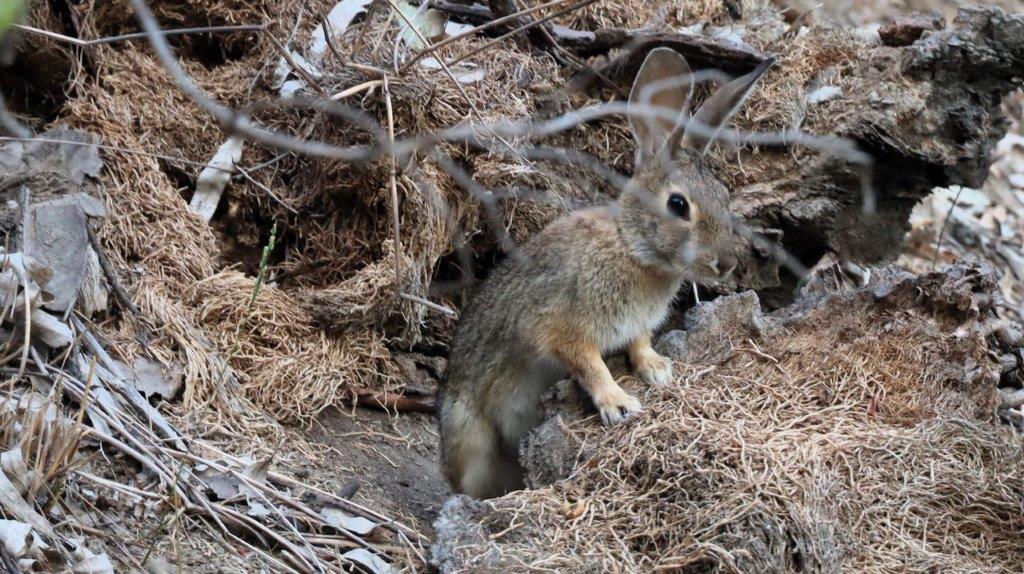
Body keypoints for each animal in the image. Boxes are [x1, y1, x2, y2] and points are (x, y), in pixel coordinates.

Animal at [436, 48, 770, 497]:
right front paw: (619, 403)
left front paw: (656, 368)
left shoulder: (635, 324)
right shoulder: (560, 326)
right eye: (678, 205)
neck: (632, 248)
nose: (727, 263)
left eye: (723, 196)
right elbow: (589, 363)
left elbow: (639, 342)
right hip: (471, 438)